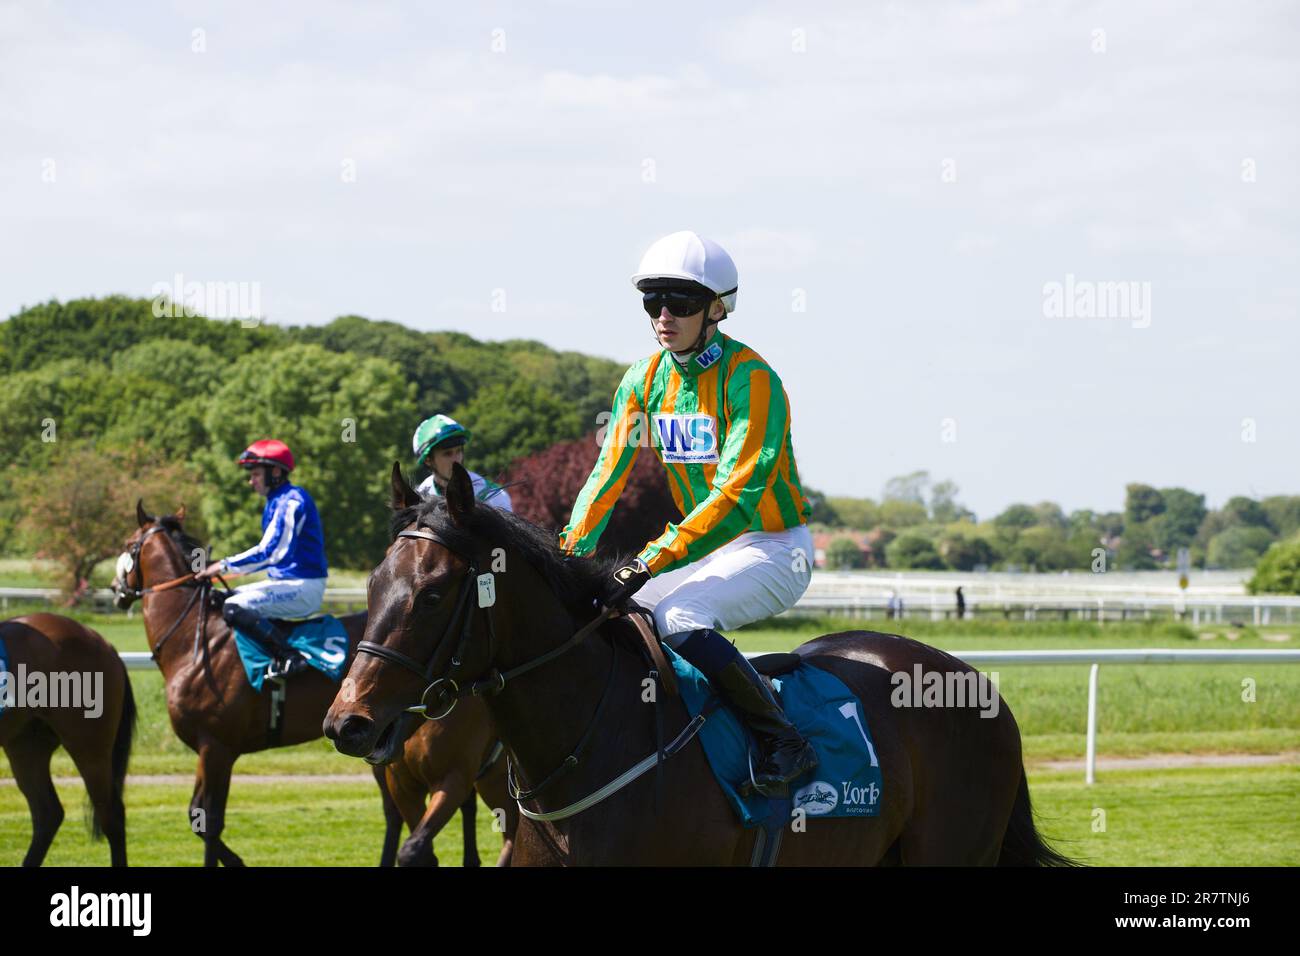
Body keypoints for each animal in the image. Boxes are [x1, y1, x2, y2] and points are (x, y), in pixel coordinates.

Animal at [115, 504, 506, 868]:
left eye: (130, 543)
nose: (117, 590)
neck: (196, 642)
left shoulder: (216, 746)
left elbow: (207, 821)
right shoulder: (208, 748)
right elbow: (198, 817)